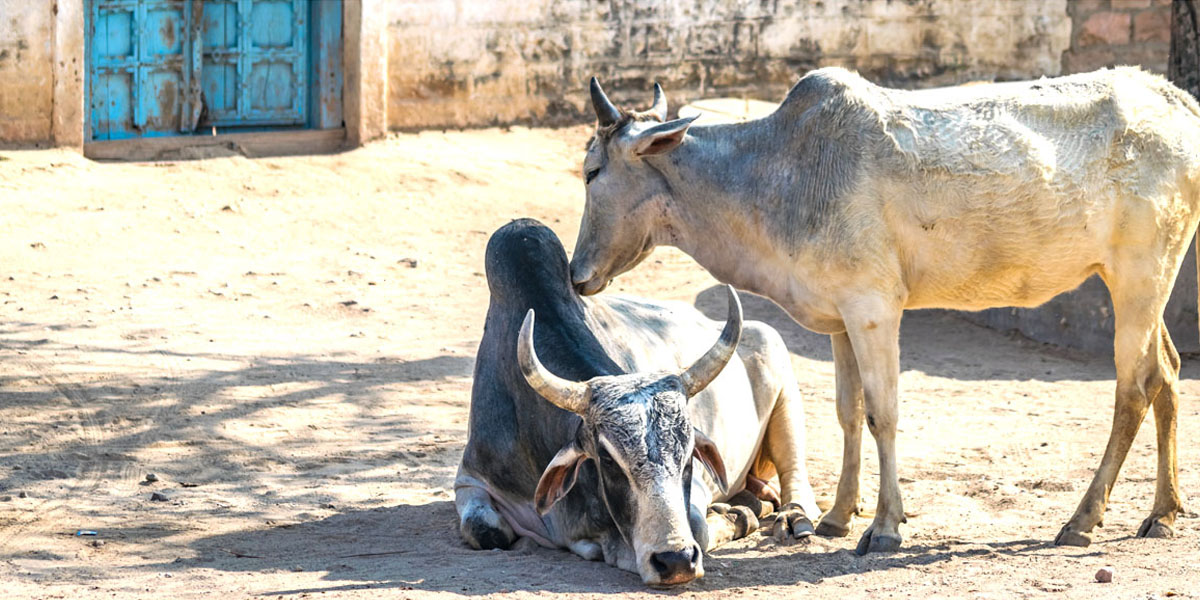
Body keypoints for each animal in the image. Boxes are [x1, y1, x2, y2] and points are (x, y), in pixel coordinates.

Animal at [454, 218, 821, 586]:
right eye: (607, 459)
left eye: (690, 452)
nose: (675, 560)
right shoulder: (471, 479)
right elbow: (485, 531)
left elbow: (699, 528)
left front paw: (737, 514)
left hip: (779, 365)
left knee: (795, 475)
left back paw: (792, 516)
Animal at [569, 67, 1200, 554]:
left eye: (593, 171)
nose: (577, 274)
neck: (776, 172)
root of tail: (1178, 101)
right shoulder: (841, 319)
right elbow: (849, 413)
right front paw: (837, 516)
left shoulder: (873, 309)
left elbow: (883, 414)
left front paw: (884, 526)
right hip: (1144, 283)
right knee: (1167, 373)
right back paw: (1163, 513)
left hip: (1139, 276)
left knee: (1134, 387)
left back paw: (1082, 519)